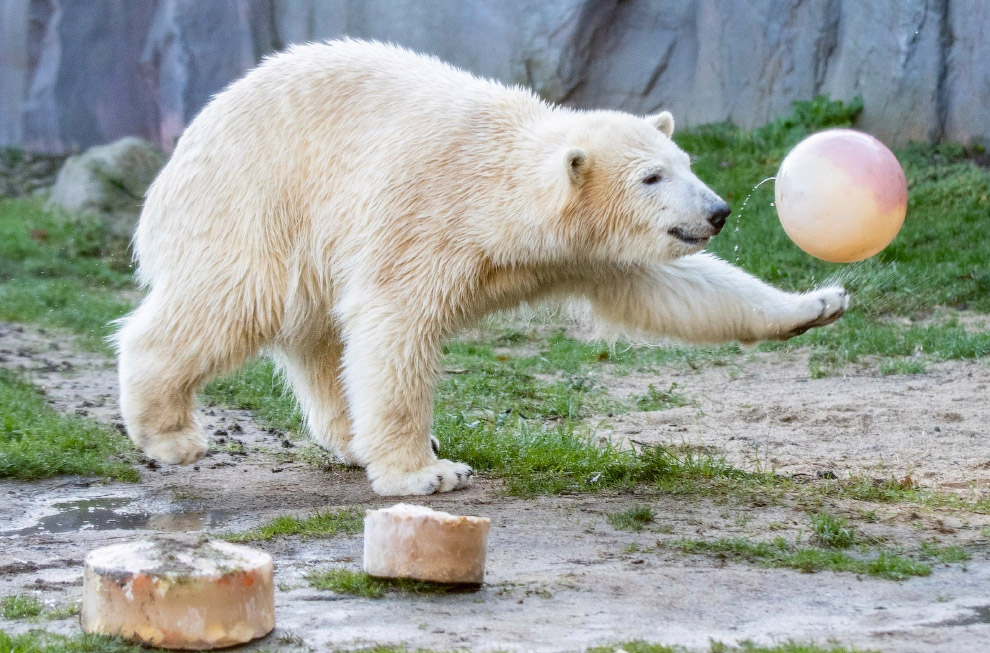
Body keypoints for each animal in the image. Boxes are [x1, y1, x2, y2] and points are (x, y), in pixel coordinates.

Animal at [114, 39, 844, 494]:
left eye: (686, 163)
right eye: (651, 176)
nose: (718, 210)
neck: (495, 194)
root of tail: (173, 165)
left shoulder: (584, 252)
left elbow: (673, 288)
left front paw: (818, 302)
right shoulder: (423, 220)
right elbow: (396, 330)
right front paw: (425, 474)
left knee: (318, 340)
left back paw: (350, 437)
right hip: (258, 205)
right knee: (229, 303)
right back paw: (171, 433)